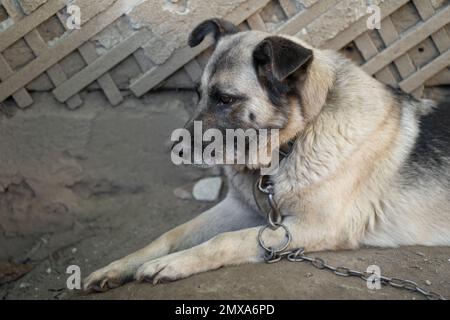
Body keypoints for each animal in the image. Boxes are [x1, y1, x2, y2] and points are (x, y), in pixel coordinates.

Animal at [82, 18, 448, 292]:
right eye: (199, 94)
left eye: (226, 99)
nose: (176, 150)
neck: (297, 138)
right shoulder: (240, 207)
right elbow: (170, 234)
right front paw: (119, 266)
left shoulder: (315, 226)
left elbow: (224, 240)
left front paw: (170, 264)